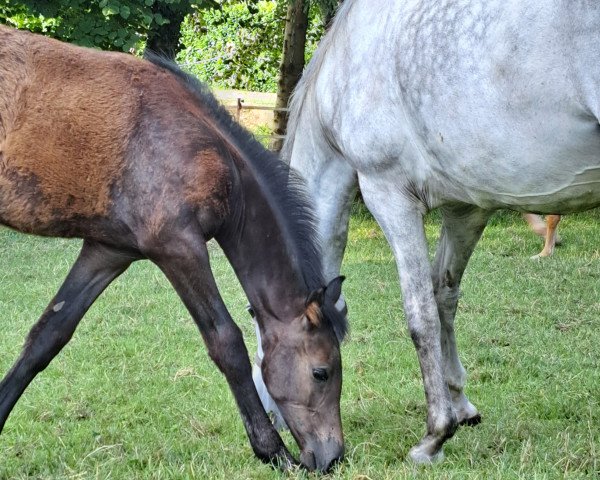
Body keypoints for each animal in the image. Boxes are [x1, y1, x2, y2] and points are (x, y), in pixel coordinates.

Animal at [0, 26, 346, 472]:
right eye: (322, 372)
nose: (332, 456)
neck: (204, 147)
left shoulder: (107, 252)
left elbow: (47, 337)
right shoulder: (178, 247)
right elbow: (227, 342)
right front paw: (273, 450)